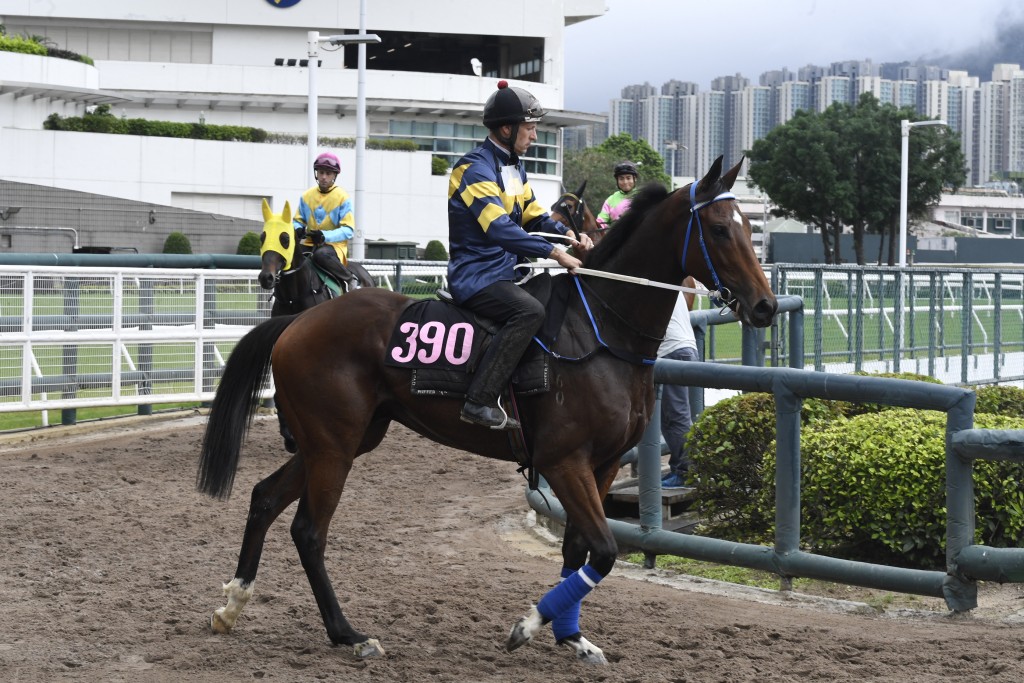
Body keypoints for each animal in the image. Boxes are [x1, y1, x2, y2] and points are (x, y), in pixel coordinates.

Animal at [193, 154, 774, 663]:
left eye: (750, 227)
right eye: (719, 230)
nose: (765, 305)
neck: (599, 330)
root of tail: (296, 322)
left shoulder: (604, 464)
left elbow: (577, 550)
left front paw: (572, 637)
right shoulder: (565, 461)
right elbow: (604, 550)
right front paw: (528, 626)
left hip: (339, 441)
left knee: (265, 498)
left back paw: (234, 604)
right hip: (334, 446)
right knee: (310, 532)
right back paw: (349, 634)